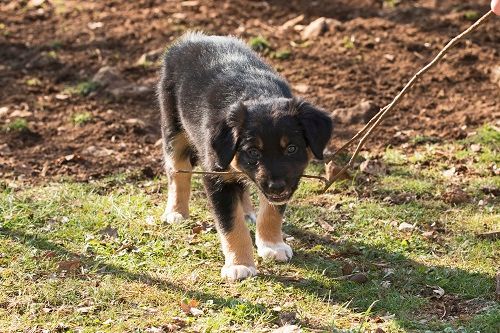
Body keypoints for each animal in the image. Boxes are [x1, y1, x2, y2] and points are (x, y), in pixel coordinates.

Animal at [158, 31, 334, 280]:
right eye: (253, 151)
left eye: (291, 149)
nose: (277, 187)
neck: (256, 93)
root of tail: (192, 38)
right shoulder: (216, 176)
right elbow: (231, 224)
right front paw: (239, 264)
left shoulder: (284, 181)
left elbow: (272, 211)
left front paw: (272, 245)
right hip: (173, 127)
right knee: (178, 171)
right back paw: (176, 212)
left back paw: (248, 212)